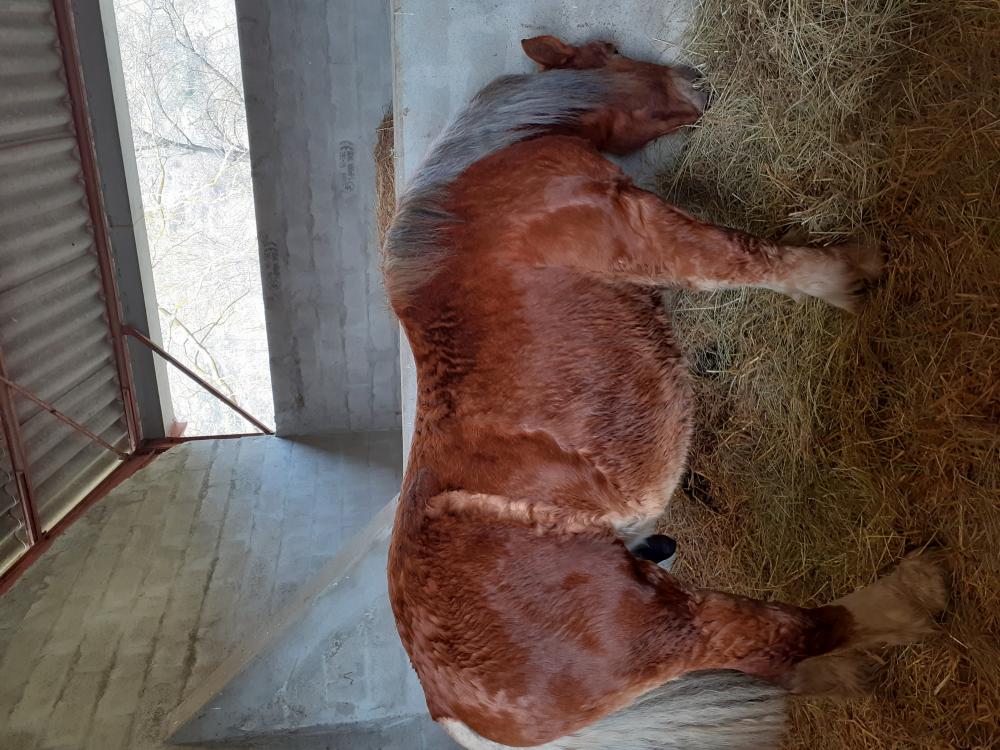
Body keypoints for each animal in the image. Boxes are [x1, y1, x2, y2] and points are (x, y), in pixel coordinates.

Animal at [382, 35, 948, 750]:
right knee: (780, 636)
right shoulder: (641, 228)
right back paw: (913, 595)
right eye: (605, 52)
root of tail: (452, 705)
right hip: (664, 624)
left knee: (774, 665)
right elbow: (746, 259)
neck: (483, 177)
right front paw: (848, 272)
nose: (694, 81)